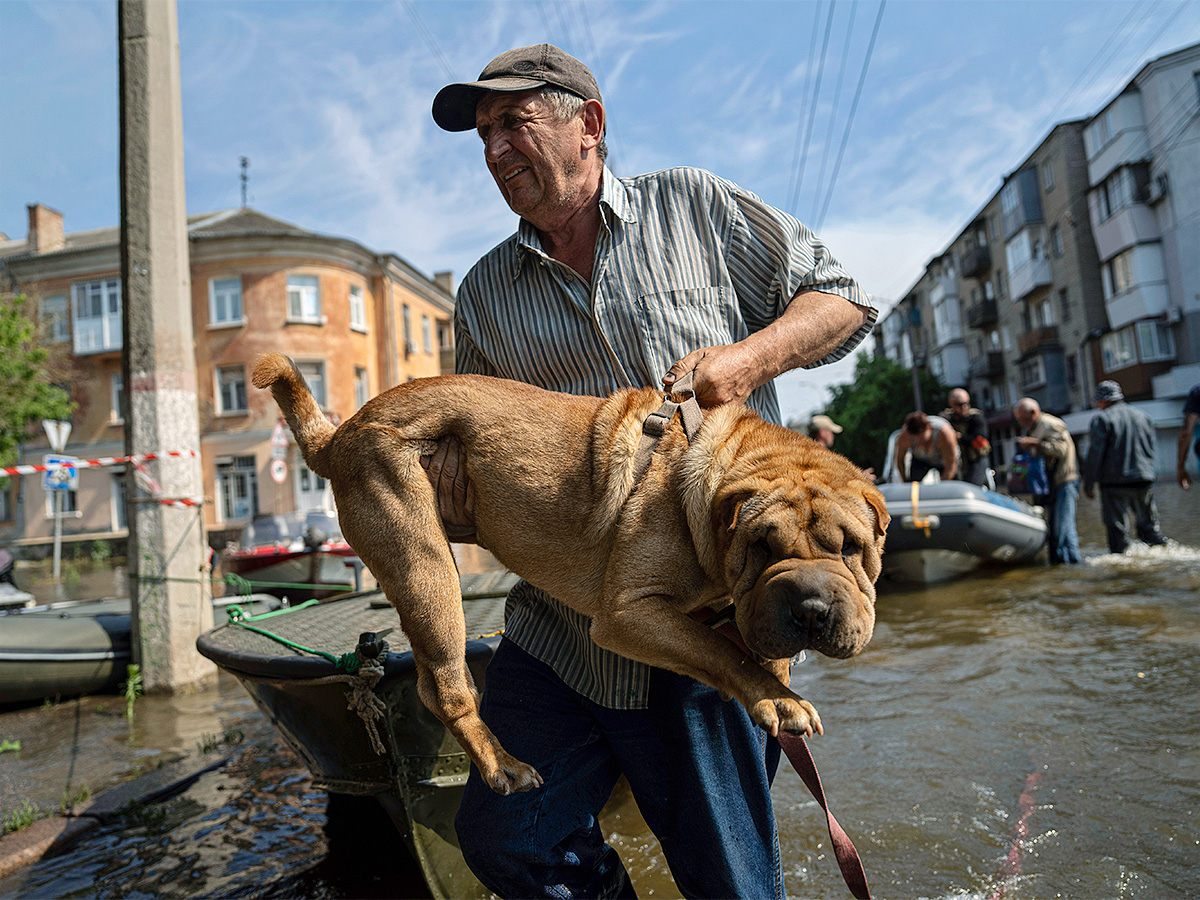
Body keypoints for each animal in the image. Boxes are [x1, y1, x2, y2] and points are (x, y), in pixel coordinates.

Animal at [255, 352, 892, 796]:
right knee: (445, 688)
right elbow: (719, 652)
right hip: (424, 566)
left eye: (853, 549)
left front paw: (777, 678)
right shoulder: (630, 613)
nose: (810, 608)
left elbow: (745, 645)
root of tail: (341, 432)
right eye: (762, 545)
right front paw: (776, 699)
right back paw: (504, 766)